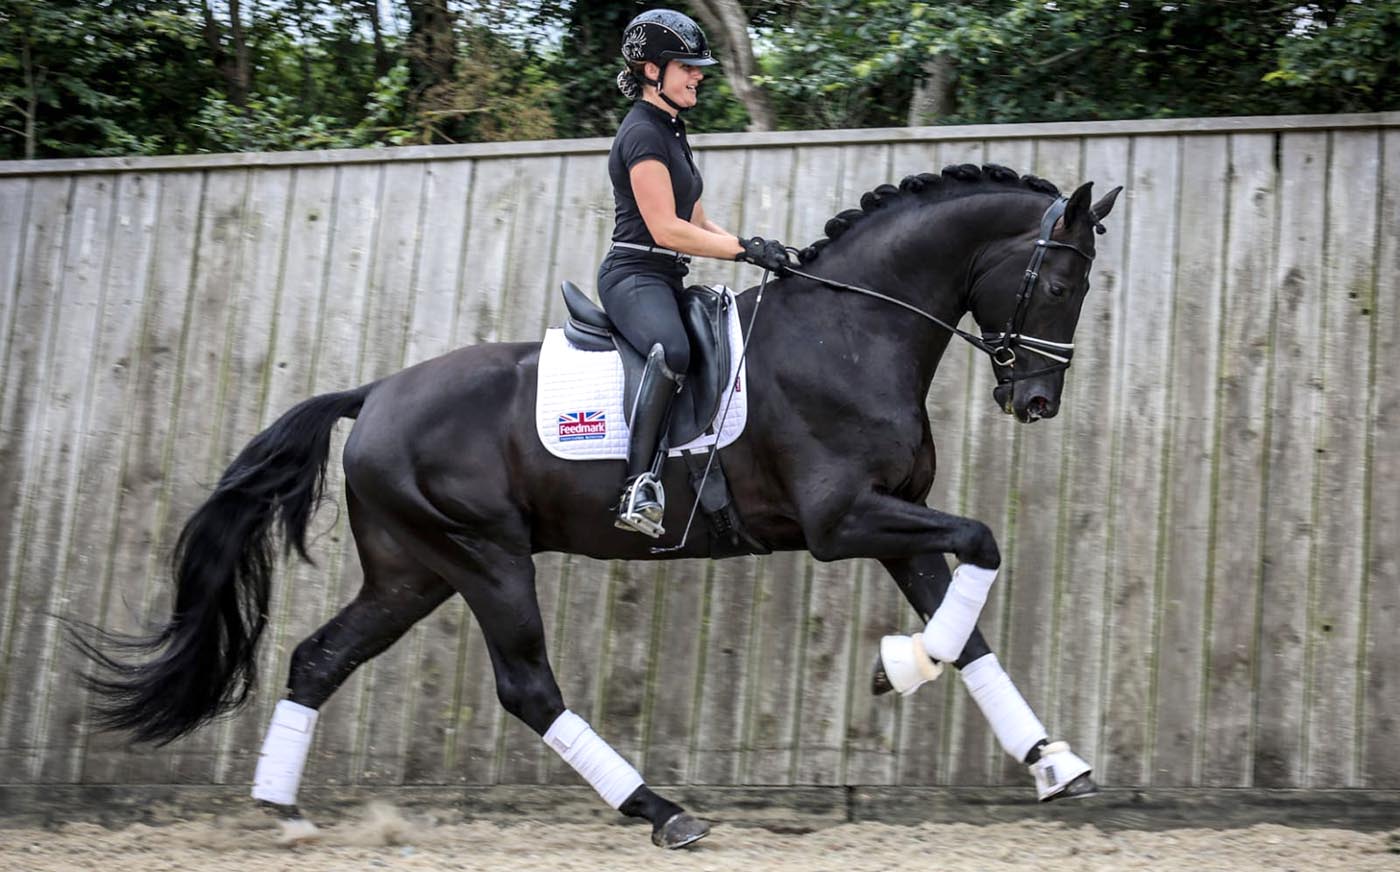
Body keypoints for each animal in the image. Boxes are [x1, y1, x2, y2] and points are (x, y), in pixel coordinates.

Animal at [77, 163, 1121, 849]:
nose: (1035, 401)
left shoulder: (897, 519)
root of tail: (373, 396)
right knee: (528, 688)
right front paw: (899, 669)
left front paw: (1048, 758)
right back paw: (663, 813)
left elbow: (970, 620)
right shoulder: (842, 523)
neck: (851, 329)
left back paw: (283, 812)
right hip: (486, 558)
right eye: (1060, 280)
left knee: (319, 658)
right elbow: (983, 545)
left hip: (414, 570)